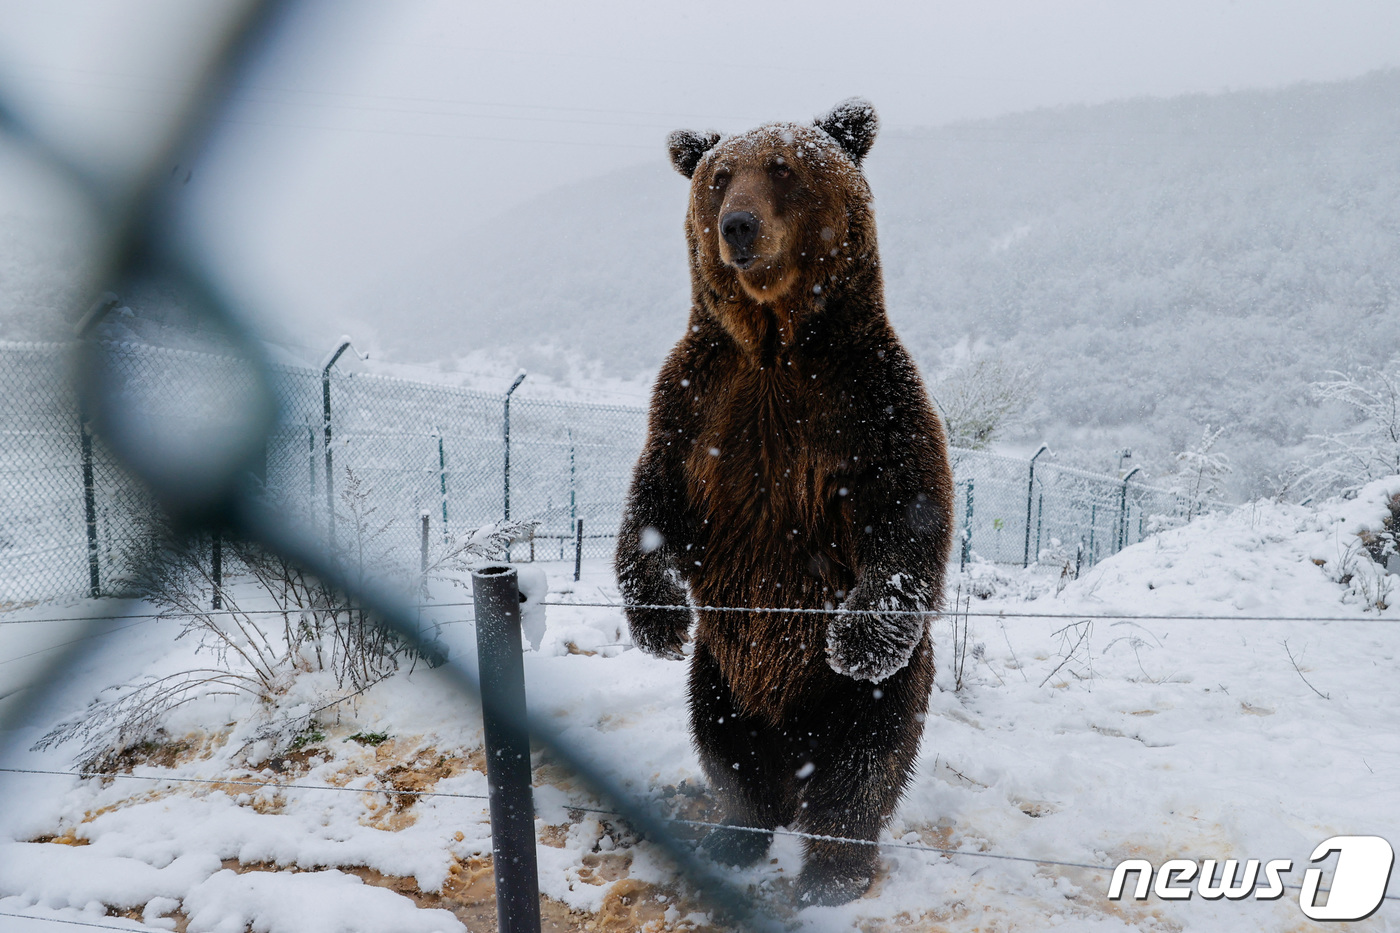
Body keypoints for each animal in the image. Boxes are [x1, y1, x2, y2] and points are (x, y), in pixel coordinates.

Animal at [618, 100, 957, 902]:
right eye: (717, 176)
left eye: (783, 167)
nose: (737, 225)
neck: (776, 342)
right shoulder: (699, 400)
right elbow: (654, 498)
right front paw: (658, 617)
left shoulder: (867, 399)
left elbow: (909, 507)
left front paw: (857, 638)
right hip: (722, 666)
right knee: (727, 746)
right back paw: (734, 835)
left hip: (864, 697)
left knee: (863, 764)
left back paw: (832, 869)